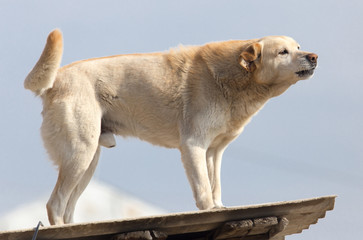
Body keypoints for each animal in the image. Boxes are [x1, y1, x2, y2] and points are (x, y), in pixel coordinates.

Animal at [24, 29, 318, 225]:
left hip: (88, 162)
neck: (232, 78)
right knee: (55, 204)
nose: (314, 56)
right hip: (80, 155)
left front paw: (219, 208)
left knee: (67, 209)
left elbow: (215, 188)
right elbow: (204, 192)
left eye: (299, 46)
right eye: (283, 52)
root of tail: (56, 79)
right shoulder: (193, 146)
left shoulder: (214, 152)